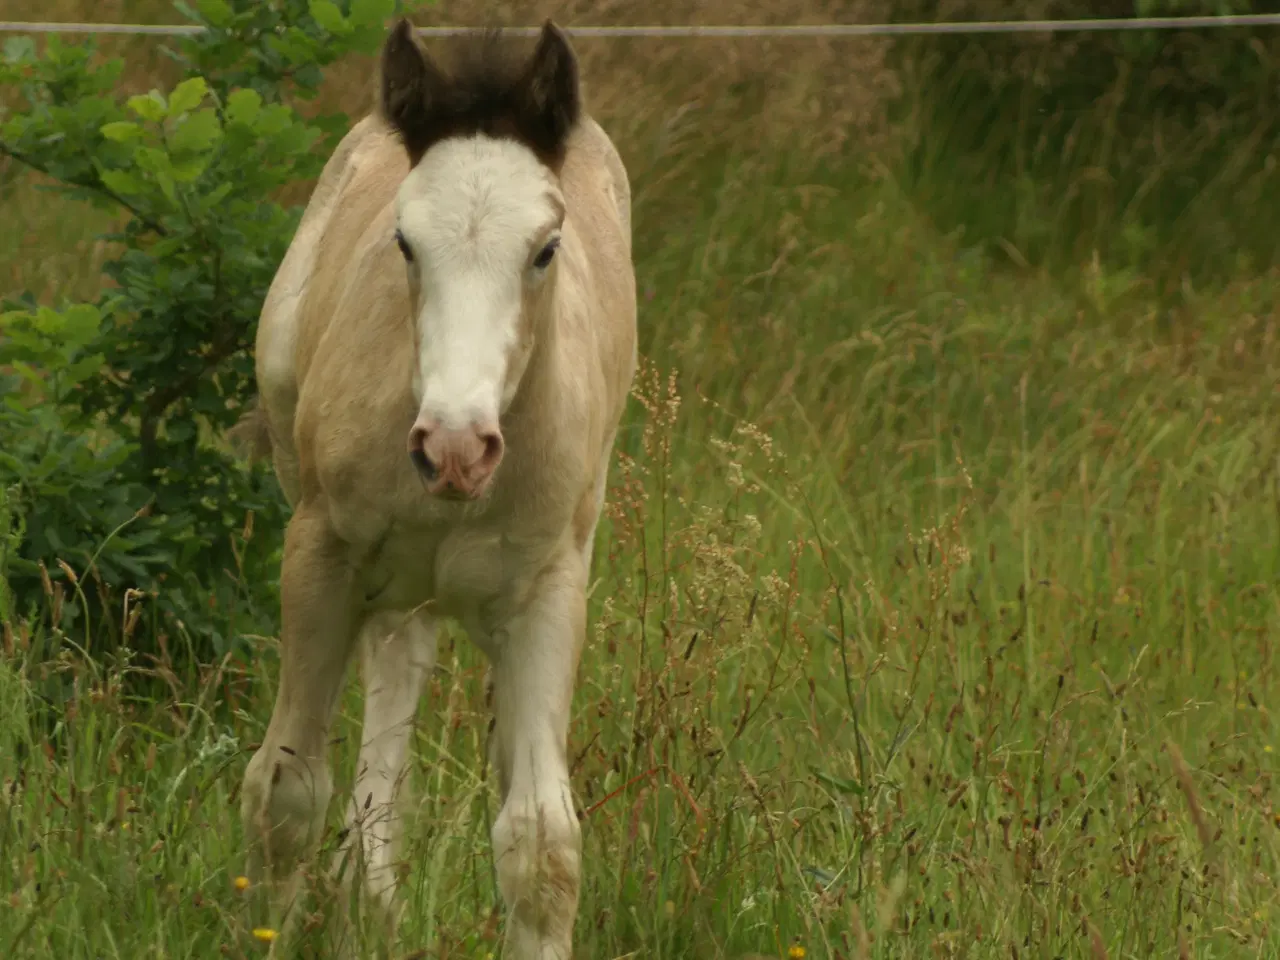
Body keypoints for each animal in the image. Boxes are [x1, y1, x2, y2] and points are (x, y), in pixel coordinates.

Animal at [238, 18, 637, 957]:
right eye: (404, 243)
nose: (455, 448)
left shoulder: (549, 590)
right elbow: (285, 793)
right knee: (395, 661)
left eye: (546, 249)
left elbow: (541, 844)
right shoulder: (320, 557)